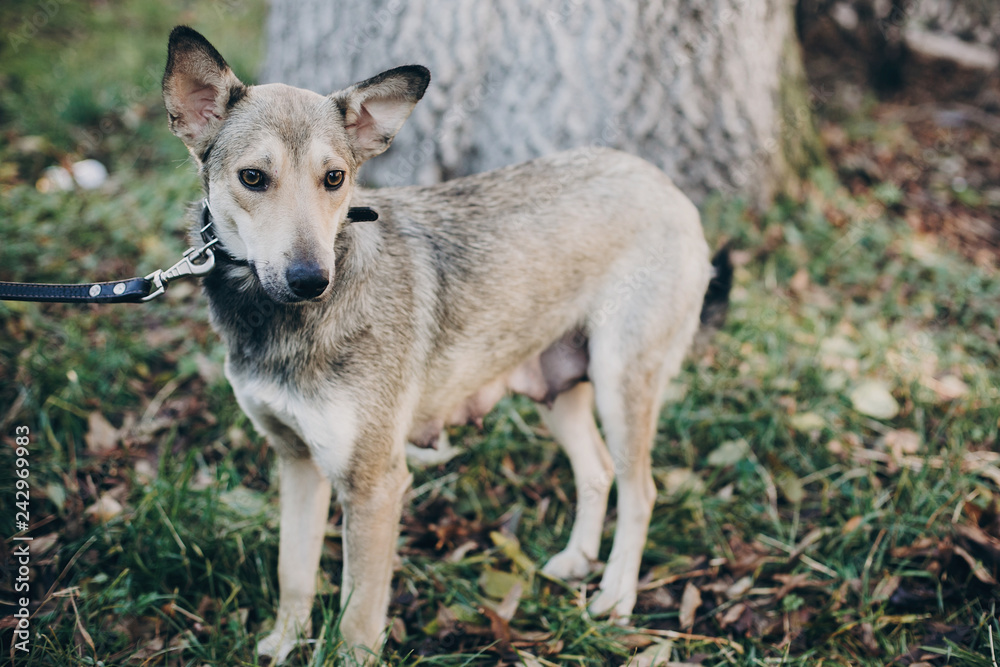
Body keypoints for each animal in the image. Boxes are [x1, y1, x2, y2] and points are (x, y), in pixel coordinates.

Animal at [160, 24, 732, 664]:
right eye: (253, 178)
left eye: (335, 178)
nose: (311, 280)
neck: (282, 324)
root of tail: (664, 183)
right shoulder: (297, 461)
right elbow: (294, 571)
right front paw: (284, 642)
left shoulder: (375, 486)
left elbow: (358, 617)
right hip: (555, 390)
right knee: (597, 472)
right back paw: (576, 561)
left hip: (621, 384)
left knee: (640, 492)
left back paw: (616, 596)